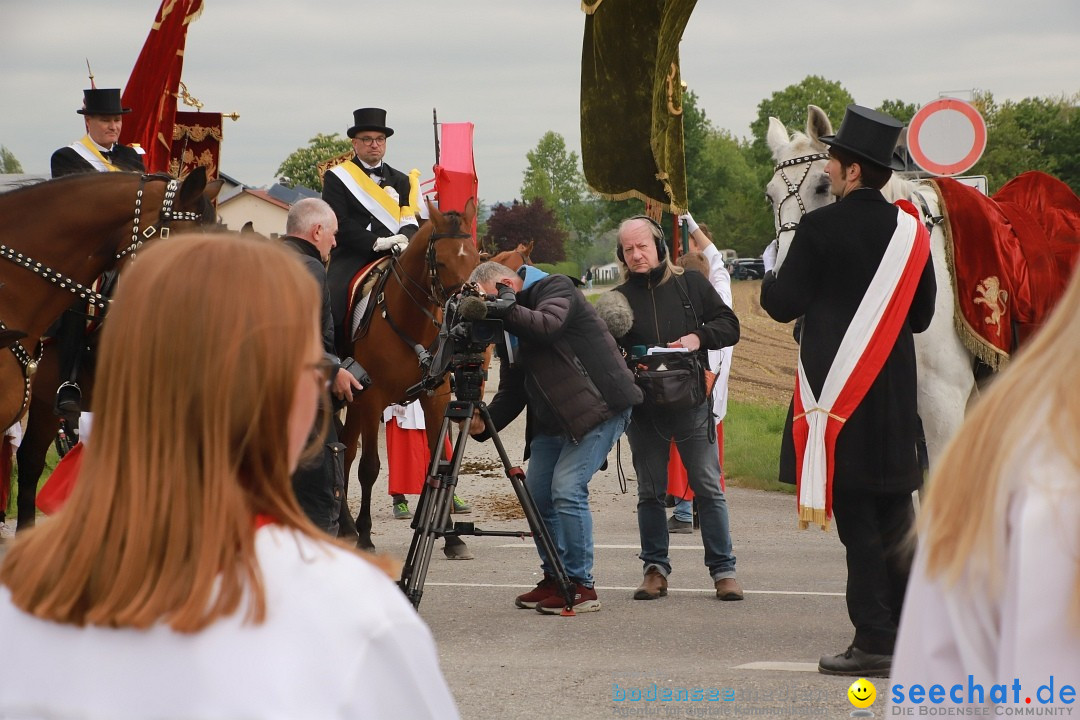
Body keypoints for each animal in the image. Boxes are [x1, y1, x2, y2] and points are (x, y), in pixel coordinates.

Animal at [341, 199, 481, 548]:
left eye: (476, 258)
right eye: (441, 261)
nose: (469, 308)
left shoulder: (436, 396)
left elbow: (438, 463)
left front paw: (451, 538)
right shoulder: (372, 399)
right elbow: (370, 467)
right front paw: (366, 535)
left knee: (344, 450)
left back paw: (344, 525)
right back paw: (347, 527)